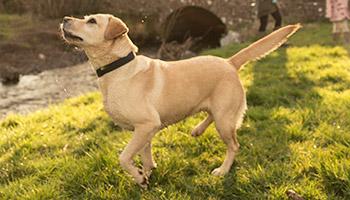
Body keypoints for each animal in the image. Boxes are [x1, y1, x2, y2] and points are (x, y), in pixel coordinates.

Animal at [59, 14, 298, 188]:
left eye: (91, 21)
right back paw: (197, 130)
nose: (65, 18)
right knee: (210, 115)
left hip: (224, 119)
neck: (118, 67)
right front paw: (146, 176)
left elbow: (124, 157)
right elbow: (145, 155)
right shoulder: (143, 131)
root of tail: (230, 62)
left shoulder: (146, 125)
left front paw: (138, 176)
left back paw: (223, 170)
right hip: (217, 111)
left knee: (234, 145)